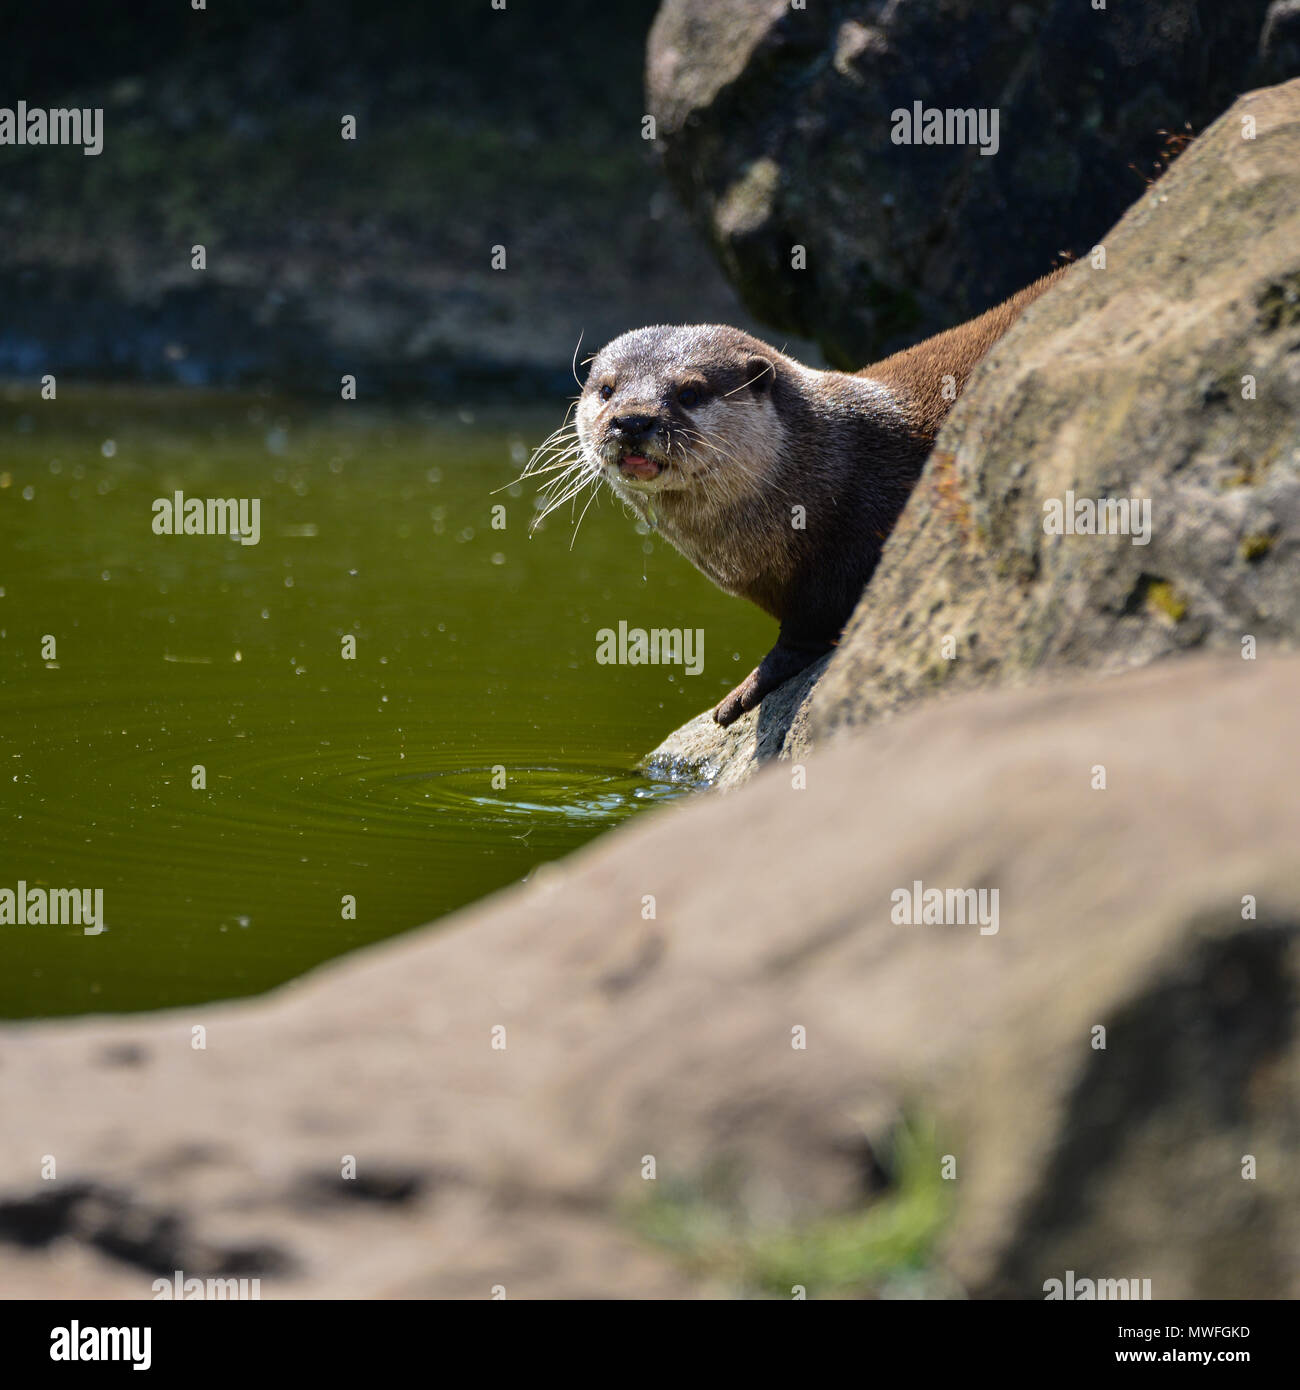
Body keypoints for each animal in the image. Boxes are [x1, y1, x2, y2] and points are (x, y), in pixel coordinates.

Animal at [529, 267, 1067, 726]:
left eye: (690, 393)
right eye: (606, 389)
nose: (632, 420)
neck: (827, 470)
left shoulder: (846, 553)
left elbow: (809, 629)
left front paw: (745, 690)